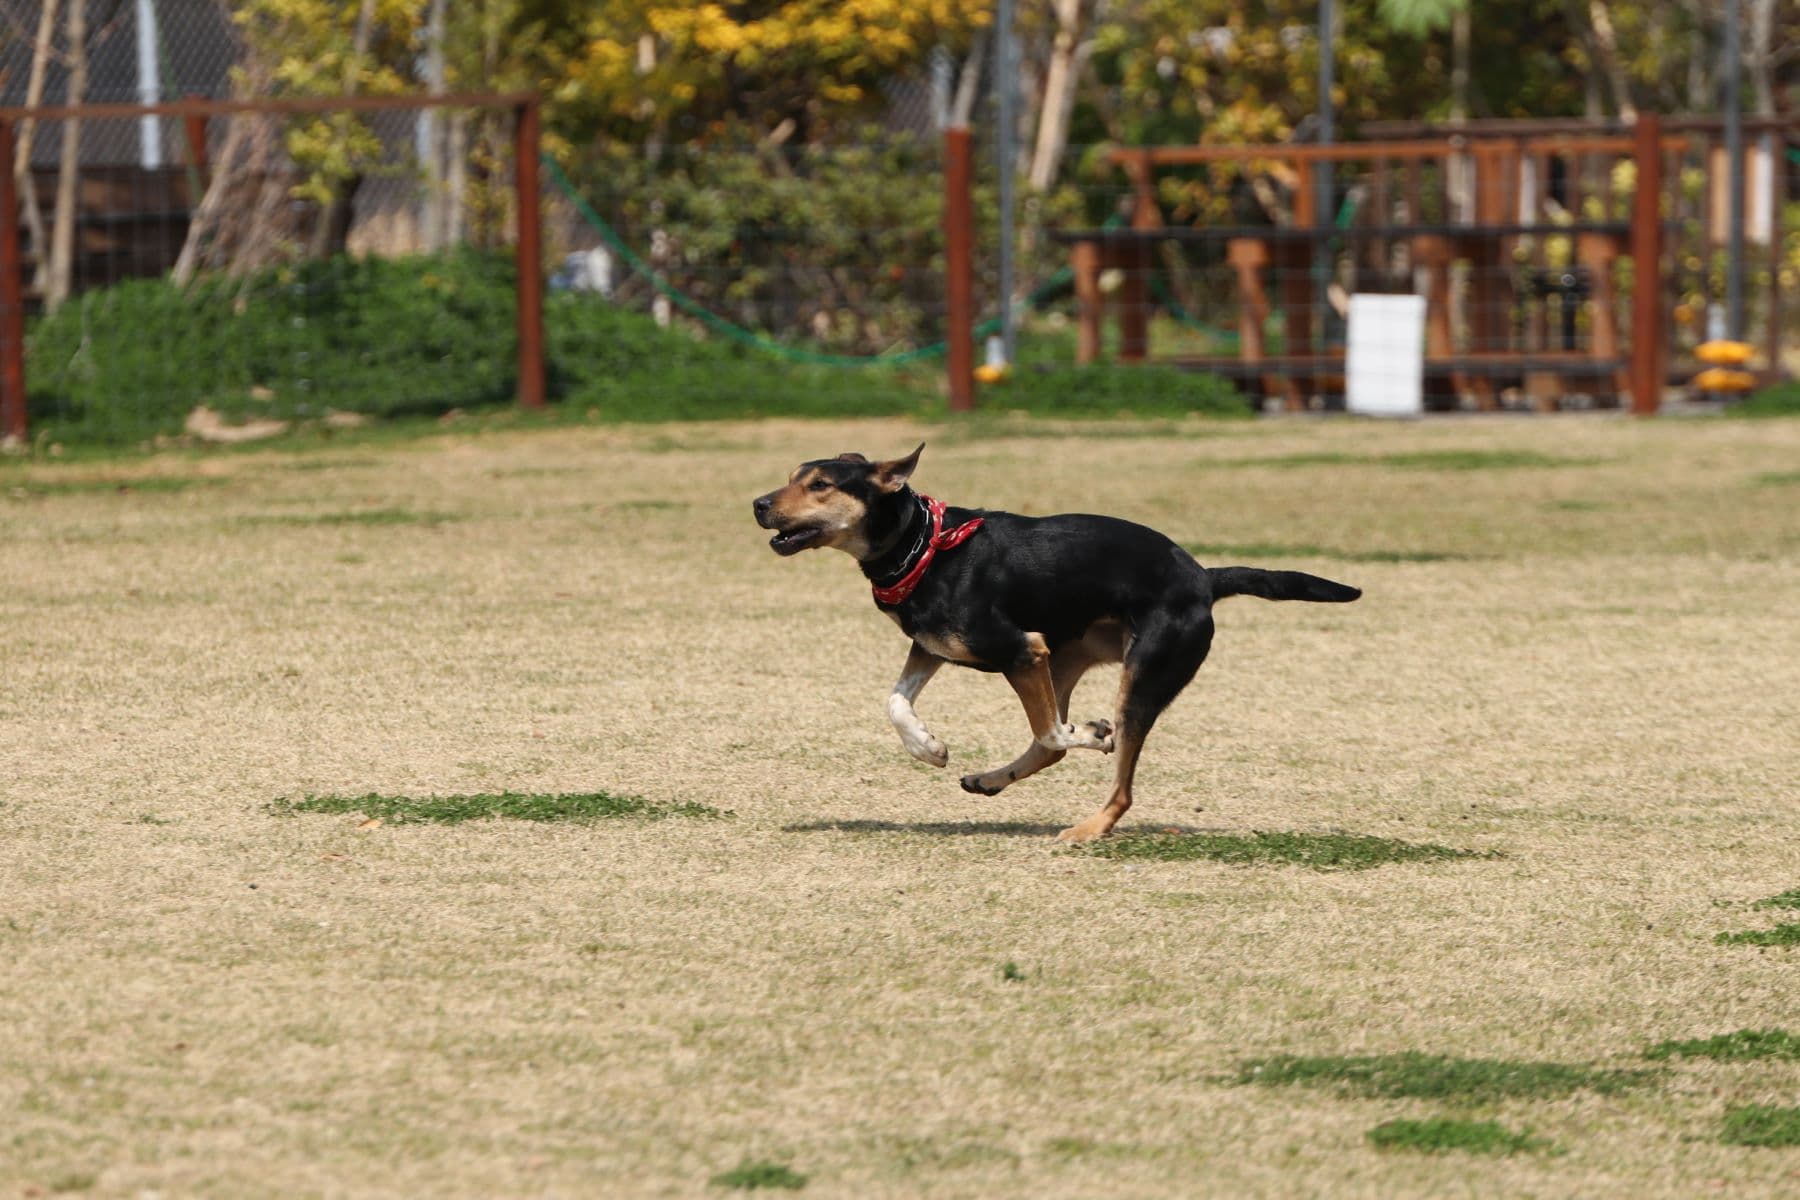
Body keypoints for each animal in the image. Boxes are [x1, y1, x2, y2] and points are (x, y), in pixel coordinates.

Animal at [752, 444, 1353, 845]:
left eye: (820, 485)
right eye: (790, 478)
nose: (758, 503)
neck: (921, 547)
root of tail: (1204, 578)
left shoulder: (1022, 650)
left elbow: (1058, 731)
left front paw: (1092, 732)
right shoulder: (938, 648)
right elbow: (896, 702)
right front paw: (929, 748)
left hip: (1140, 673)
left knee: (1112, 775)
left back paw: (1087, 826)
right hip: (1068, 656)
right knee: (1048, 749)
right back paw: (991, 779)